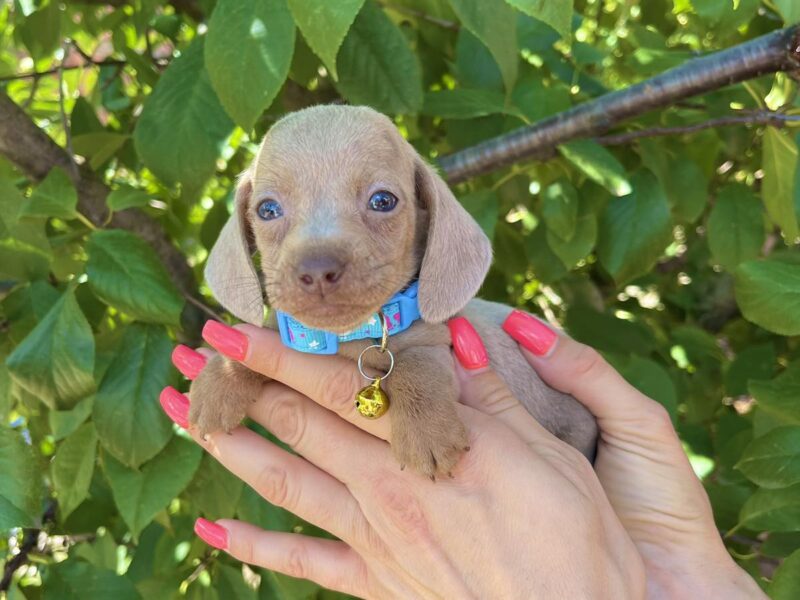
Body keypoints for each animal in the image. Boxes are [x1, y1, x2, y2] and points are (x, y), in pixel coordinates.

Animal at [191, 104, 596, 478]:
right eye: (267, 209)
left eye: (382, 201)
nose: (318, 270)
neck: (351, 335)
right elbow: (263, 338)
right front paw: (220, 378)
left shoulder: (437, 340)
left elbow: (416, 364)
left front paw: (426, 430)